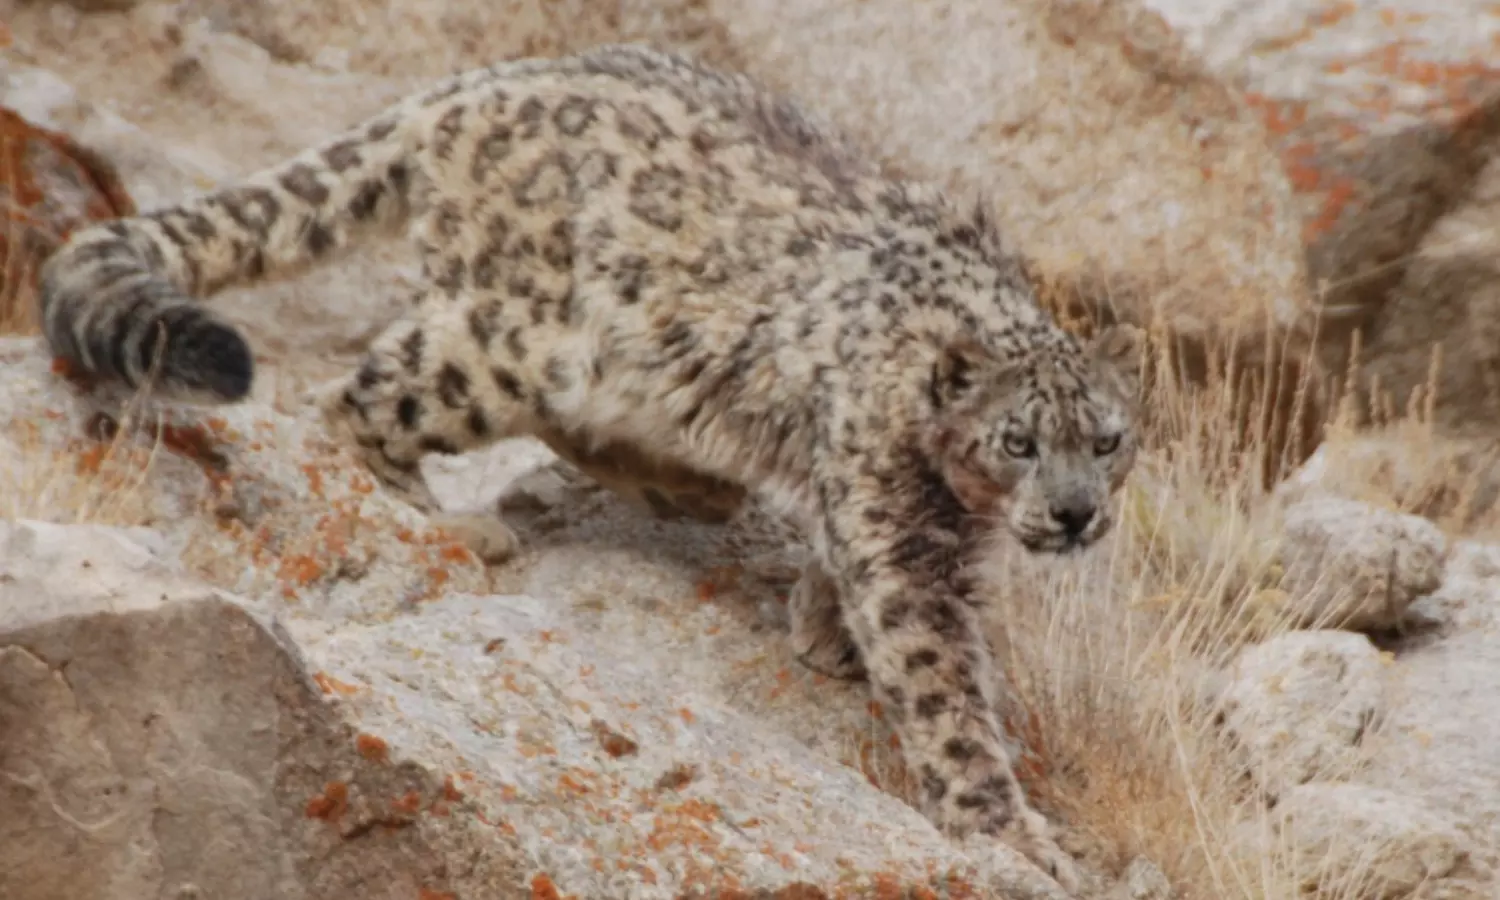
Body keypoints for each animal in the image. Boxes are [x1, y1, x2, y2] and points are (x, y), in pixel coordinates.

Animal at [37, 43, 1144, 889]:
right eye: (1018, 440)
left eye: (1109, 439)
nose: (1075, 514)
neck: (961, 503)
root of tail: (466, 88)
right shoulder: (902, 528)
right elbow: (945, 688)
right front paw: (1015, 834)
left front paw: (821, 625)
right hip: (510, 341)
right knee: (362, 394)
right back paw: (453, 516)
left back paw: (687, 484)